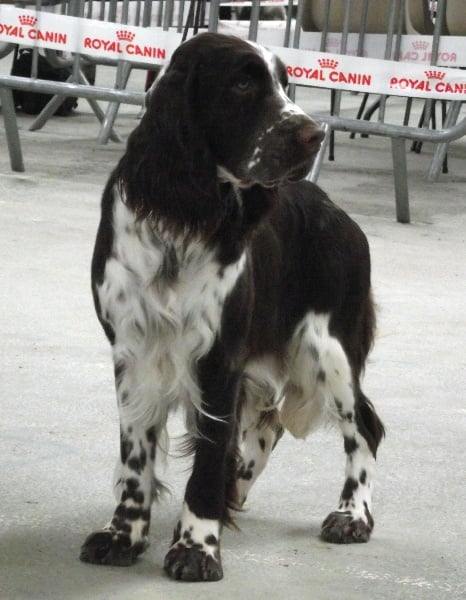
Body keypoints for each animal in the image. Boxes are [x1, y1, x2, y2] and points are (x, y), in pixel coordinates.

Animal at [80, 32, 384, 582]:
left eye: (285, 83)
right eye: (242, 83)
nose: (315, 135)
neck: (185, 218)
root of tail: (339, 213)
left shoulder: (220, 356)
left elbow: (207, 455)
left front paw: (196, 547)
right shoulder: (133, 351)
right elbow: (136, 456)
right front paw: (122, 535)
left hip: (328, 347)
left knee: (363, 427)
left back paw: (352, 515)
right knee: (267, 427)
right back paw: (237, 487)